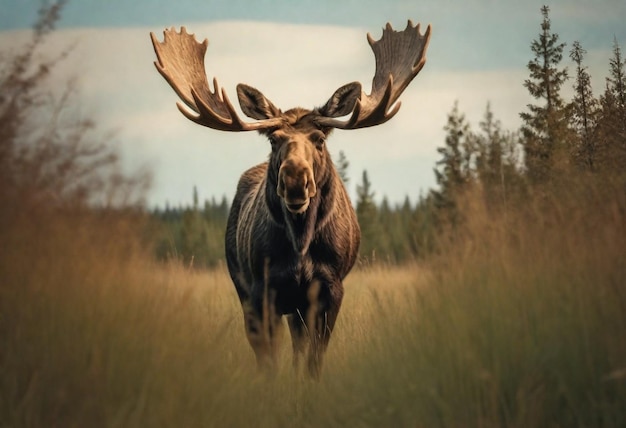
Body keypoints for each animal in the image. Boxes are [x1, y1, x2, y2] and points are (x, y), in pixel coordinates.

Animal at [150, 20, 428, 378]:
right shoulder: (262, 289)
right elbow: (268, 357)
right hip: (248, 288)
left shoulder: (329, 289)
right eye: (274, 139)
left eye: (319, 139)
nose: (295, 180)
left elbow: (314, 358)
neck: (300, 242)